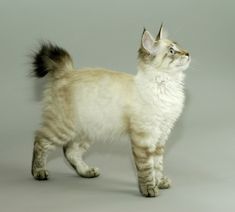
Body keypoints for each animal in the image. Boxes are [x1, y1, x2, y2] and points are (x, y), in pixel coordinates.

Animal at [30, 24, 190, 197]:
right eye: (172, 51)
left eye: (180, 47)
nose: (188, 53)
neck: (166, 86)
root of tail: (67, 72)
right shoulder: (144, 138)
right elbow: (147, 168)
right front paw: (149, 189)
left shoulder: (161, 136)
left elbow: (157, 165)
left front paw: (159, 182)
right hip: (63, 127)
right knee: (40, 141)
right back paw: (38, 172)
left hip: (86, 130)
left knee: (69, 151)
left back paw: (86, 172)